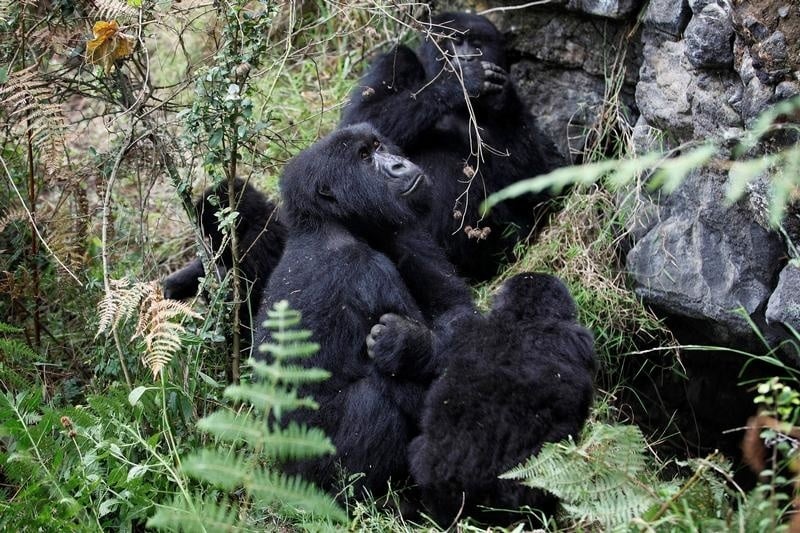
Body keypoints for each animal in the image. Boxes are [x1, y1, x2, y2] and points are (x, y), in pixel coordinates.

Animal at [162, 179, 284, 334]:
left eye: (211, 234)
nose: (213, 248)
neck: (253, 219)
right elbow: (209, 266)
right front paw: (175, 284)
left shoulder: (262, 238)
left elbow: (247, 294)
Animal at [253, 121, 472, 494]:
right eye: (365, 158)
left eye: (377, 145)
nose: (398, 164)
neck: (327, 222)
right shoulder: (365, 270)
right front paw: (409, 346)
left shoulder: (402, 230)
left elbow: (459, 312)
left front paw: (406, 343)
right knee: (373, 400)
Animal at [342, 10, 564, 280]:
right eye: (455, 41)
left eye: (478, 45)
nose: (467, 58)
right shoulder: (395, 58)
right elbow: (361, 122)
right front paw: (461, 82)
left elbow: (538, 184)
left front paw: (503, 101)